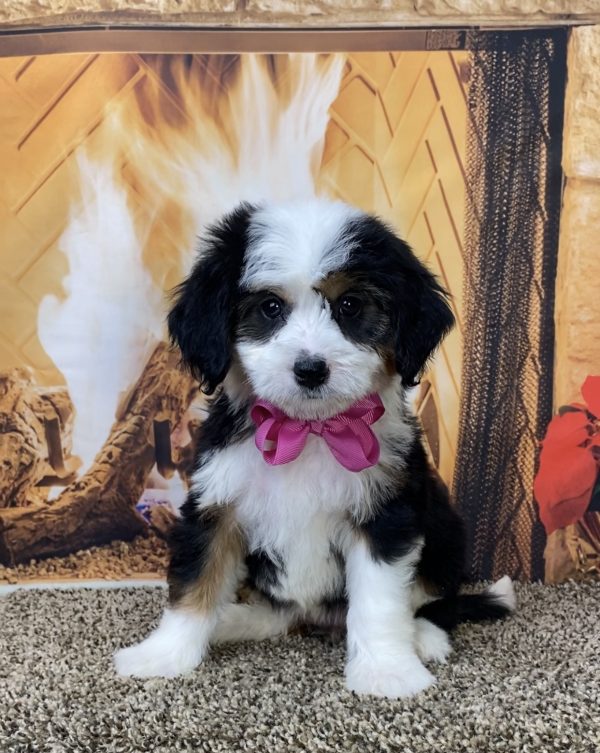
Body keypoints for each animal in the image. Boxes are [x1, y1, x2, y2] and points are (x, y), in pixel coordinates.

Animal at [113, 198, 516, 700]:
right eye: (270, 307)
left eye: (350, 305)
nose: (310, 369)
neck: (308, 431)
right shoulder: (216, 502)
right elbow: (195, 579)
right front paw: (164, 655)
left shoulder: (385, 512)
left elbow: (380, 600)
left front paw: (387, 671)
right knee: (278, 613)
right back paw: (233, 620)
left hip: (445, 533)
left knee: (438, 602)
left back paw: (424, 637)